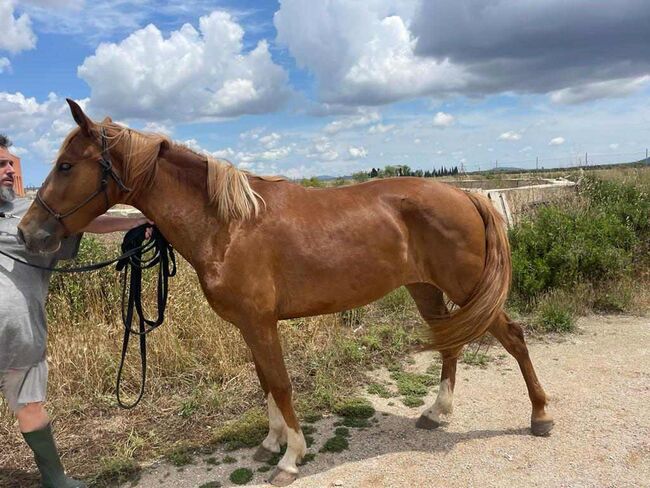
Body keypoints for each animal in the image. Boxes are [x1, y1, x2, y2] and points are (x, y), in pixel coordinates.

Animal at [17, 101, 548, 486]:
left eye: (66, 166)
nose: (27, 232)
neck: (229, 225)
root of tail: (467, 195)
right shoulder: (251, 326)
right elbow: (265, 383)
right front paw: (271, 443)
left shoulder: (261, 322)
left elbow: (281, 383)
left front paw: (291, 457)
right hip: (425, 289)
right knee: (450, 344)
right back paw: (437, 412)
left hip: (464, 288)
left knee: (514, 337)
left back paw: (540, 416)